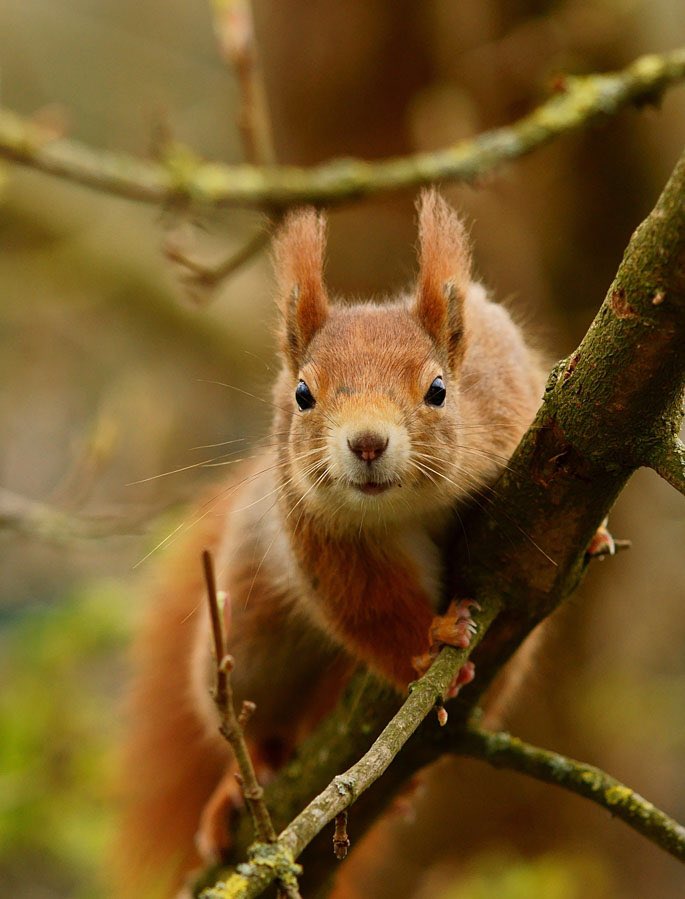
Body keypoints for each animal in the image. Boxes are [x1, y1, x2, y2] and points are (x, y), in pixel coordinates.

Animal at [116, 193, 544, 896]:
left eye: (438, 390)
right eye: (302, 394)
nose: (367, 443)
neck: (405, 506)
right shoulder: (320, 537)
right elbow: (364, 607)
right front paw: (428, 643)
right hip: (249, 646)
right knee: (261, 727)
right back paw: (245, 781)